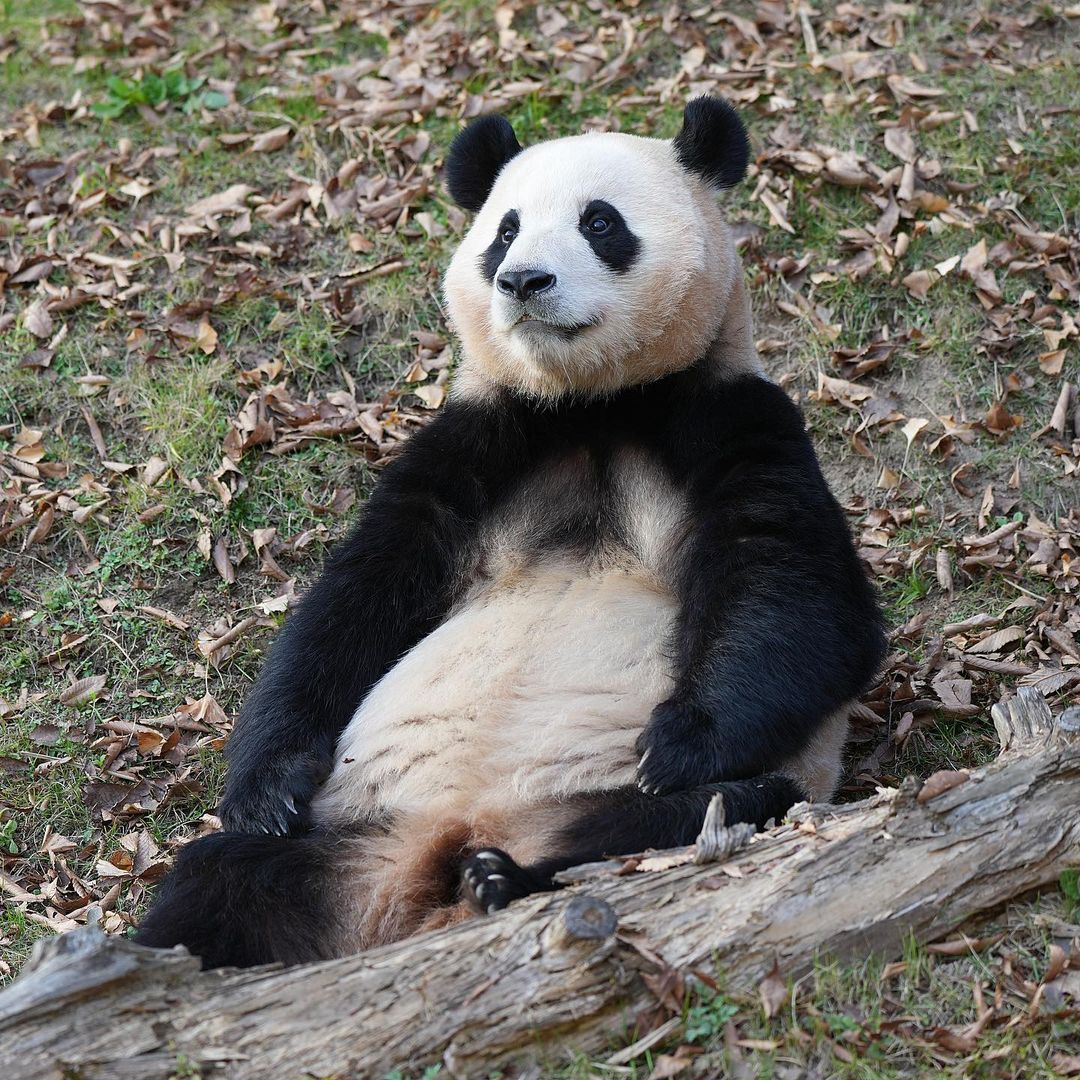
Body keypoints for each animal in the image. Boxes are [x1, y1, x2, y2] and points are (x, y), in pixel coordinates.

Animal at [135, 97, 885, 967]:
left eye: (600, 222)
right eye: (504, 228)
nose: (523, 279)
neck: (593, 404)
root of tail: (424, 881)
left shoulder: (732, 417)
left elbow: (801, 598)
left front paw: (678, 744)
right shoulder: (480, 441)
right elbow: (356, 598)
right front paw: (266, 788)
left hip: (610, 805)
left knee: (701, 813)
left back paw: (511, 879)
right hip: (355, 837)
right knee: (217, 879)